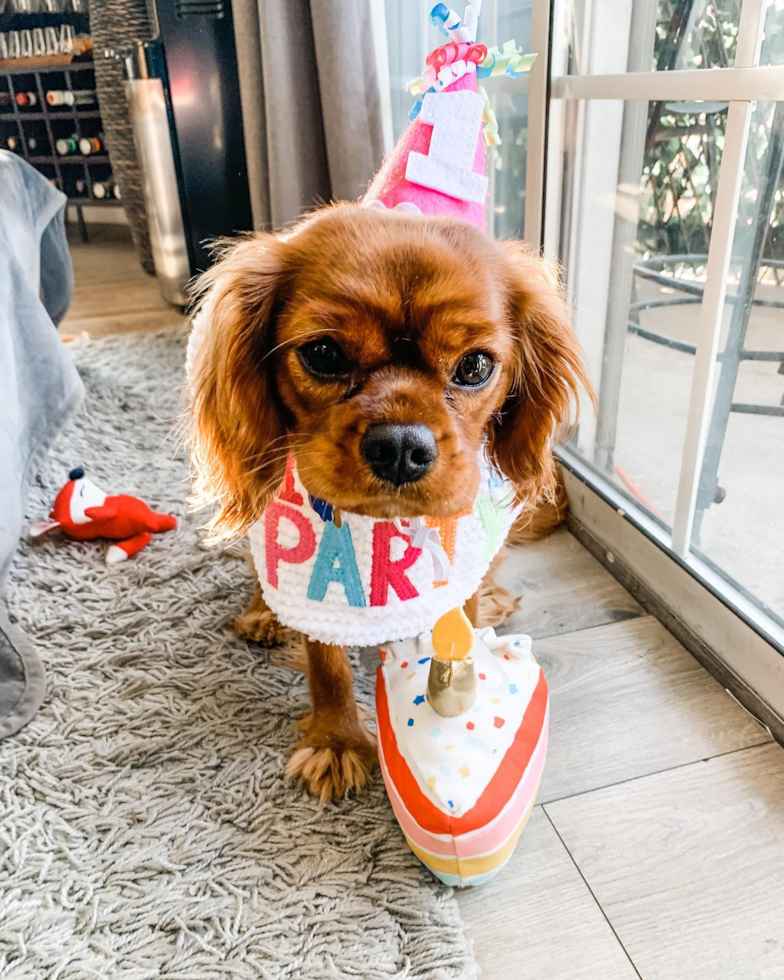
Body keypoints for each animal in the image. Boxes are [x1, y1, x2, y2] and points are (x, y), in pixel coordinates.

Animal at [187, 203, 584, 800]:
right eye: (324, 353)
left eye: (475, 366)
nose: (400, 446)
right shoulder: (313, 580)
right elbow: (325, 662)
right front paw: (337, 743)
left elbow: (461, 619)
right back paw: (261, 614)